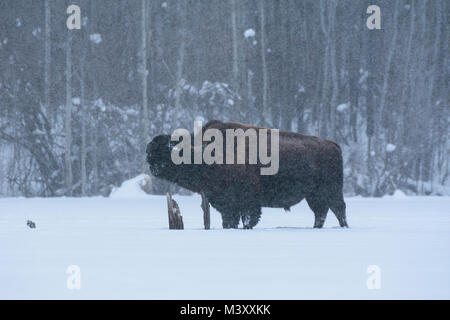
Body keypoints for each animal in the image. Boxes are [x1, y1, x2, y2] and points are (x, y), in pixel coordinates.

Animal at [148, 120, 348, 230]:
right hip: (313, 195)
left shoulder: (246, 202)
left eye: (167, 150)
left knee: (338, 209)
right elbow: (229, 220)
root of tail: (333, 145)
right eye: (151, 151)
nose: (151, 163)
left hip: (330, 191)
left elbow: (248, 219)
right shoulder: (225, 204)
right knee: (321, 212)